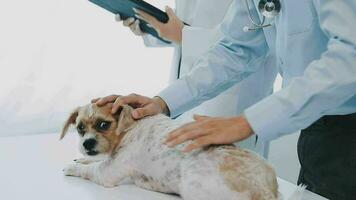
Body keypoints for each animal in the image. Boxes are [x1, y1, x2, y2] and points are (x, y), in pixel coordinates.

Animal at [59, 103, 302, 200]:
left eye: (104, 125)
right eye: (80, 128)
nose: (87, 143)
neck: (131, 127)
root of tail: (264, 190)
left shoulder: (108, 172)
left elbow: (92, 169)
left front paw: (73, 167)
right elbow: (92, 161)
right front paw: (80, 159)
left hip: (191, 185)